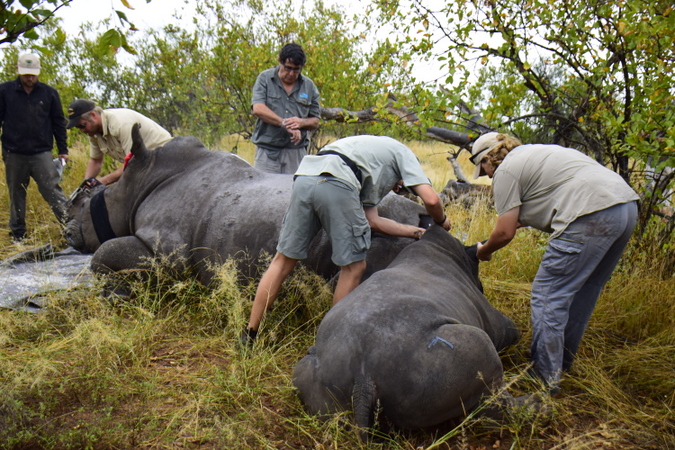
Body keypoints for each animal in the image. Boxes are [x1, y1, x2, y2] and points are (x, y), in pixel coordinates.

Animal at [292, 227, 524, 438]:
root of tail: (363, 378)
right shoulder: (497, 324)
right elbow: (513, 332)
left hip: (315, 371)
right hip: (448, 361)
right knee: (492, 395)